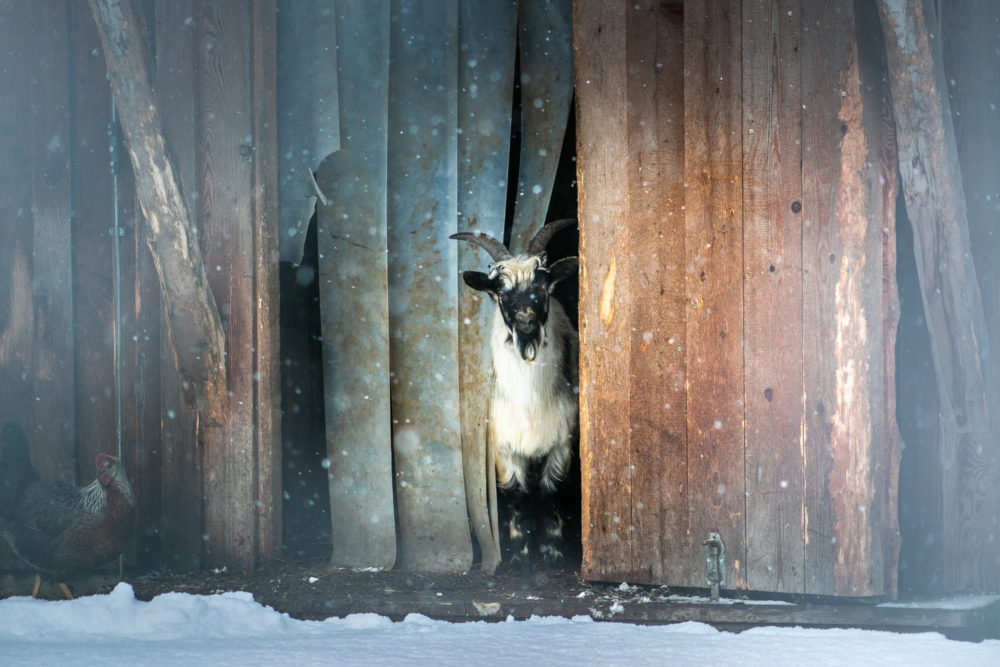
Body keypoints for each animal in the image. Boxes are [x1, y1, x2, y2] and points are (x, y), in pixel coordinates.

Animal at [451, 219, 578, 570]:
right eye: (500, 289)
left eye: (544, 284)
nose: (525, 320)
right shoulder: (503, 445)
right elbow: (516, 496)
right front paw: (520, 558)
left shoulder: (561, 441)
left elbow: (551, 493)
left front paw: (553, 555)